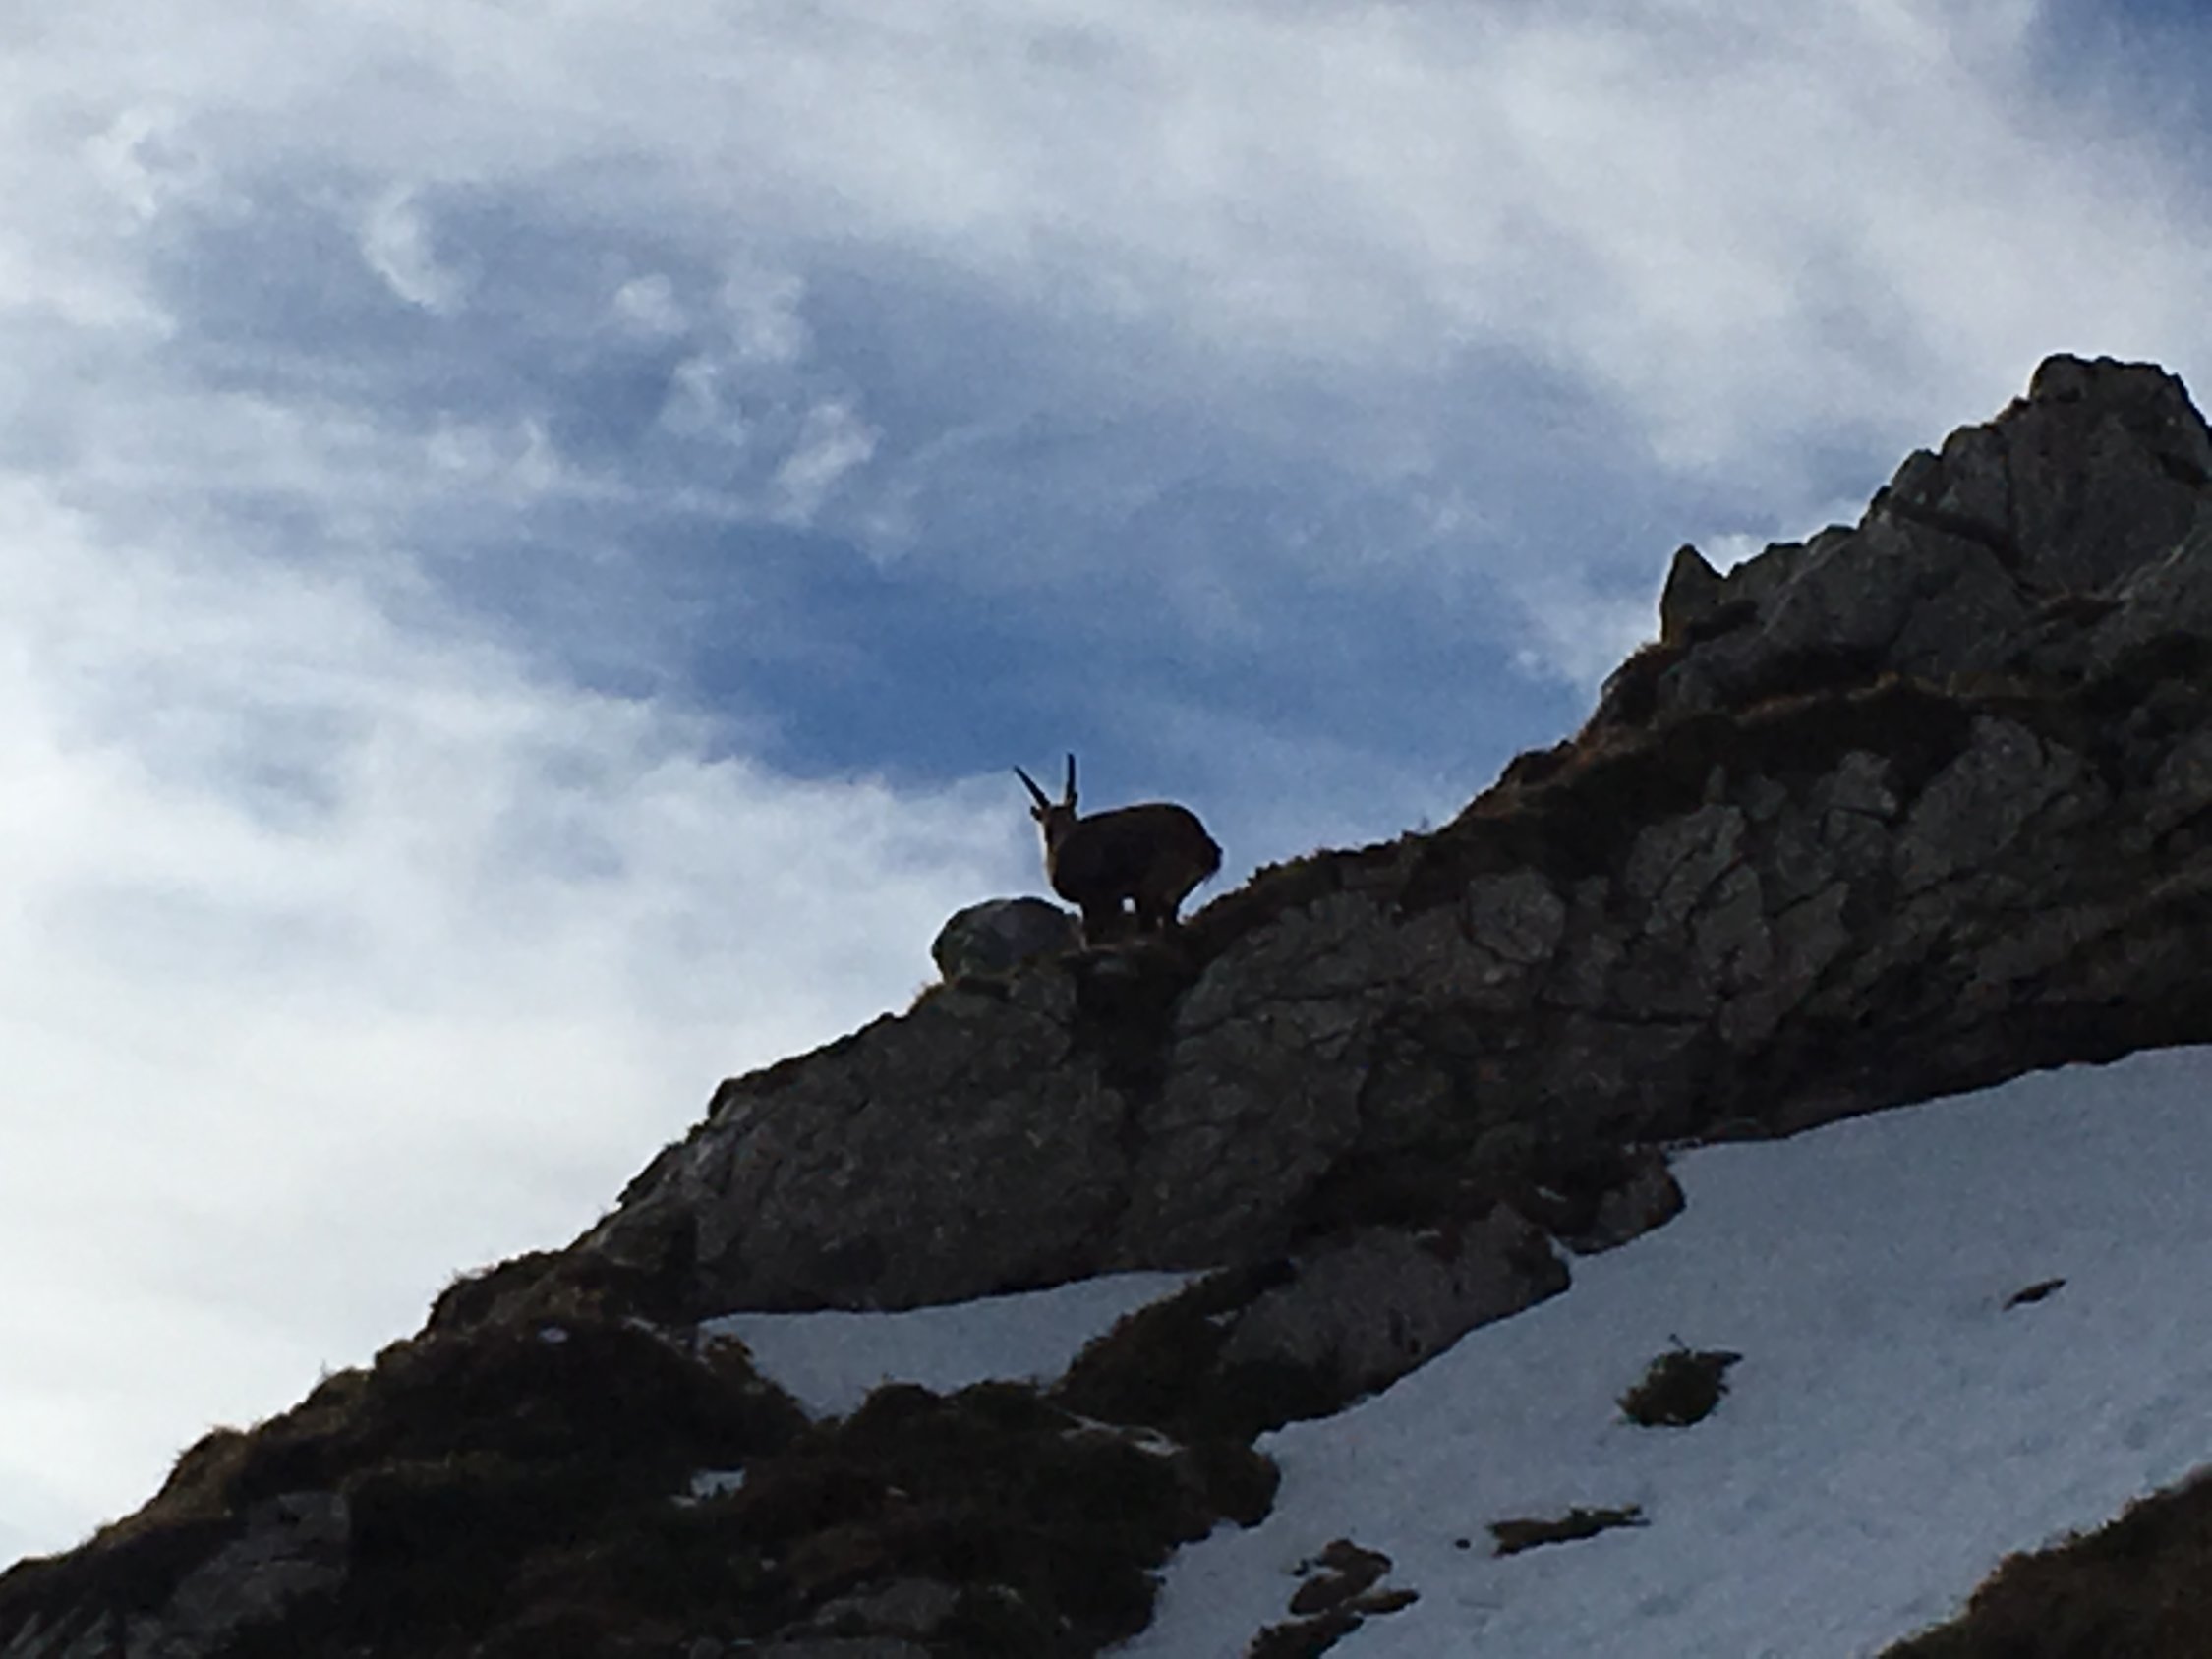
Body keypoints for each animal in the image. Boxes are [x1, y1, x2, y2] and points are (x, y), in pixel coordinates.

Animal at [1014, 754, 1222, 943]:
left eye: (1071, 816)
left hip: (1152, 886)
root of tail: (1201, 838)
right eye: (1047, 823)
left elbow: (1094, 936)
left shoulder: (1100, 898)